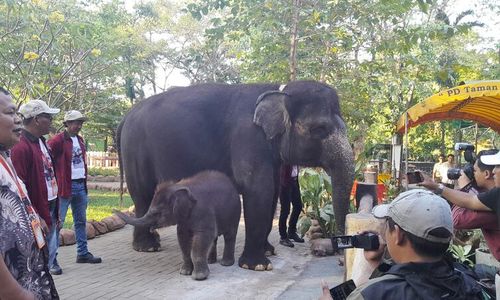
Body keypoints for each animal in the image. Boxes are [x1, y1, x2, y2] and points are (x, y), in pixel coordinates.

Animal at [116, 81, 356, 270]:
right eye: (319, 129)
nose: (340, 257)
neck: (279, 90)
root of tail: (126, 115)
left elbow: (272, 193)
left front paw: (267, 252)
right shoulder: (248, 138)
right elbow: (259, 190)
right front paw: (257, 266)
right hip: (135, 150)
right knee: (143, 194)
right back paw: (147, 247)